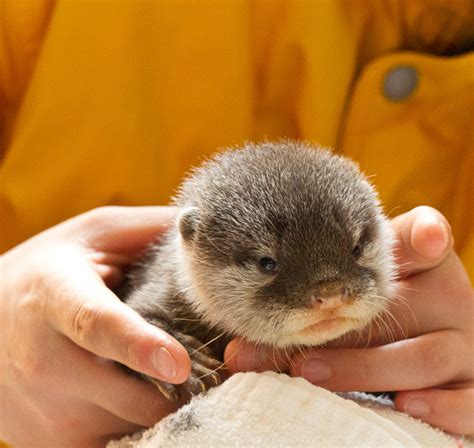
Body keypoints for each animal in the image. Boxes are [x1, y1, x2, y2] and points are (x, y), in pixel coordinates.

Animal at [120, 142, 394, 400]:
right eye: (266, 262)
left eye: (356, 248)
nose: (331, 294)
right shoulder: (158, 287)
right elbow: (142, 313)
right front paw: (192, 363)